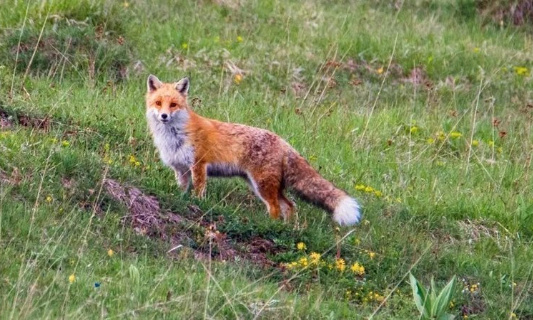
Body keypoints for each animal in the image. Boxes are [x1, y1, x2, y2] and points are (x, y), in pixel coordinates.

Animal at [145, 74, 362, 225]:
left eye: (173, 104)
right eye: (158, 103)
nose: (164, 116)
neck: (175, 136)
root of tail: (283, 142)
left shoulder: (199, 165)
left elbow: (198, 191)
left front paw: (196, 203)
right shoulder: (181, 169)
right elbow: (182, 190)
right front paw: (182, 199)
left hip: (262, 186)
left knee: (276, 208)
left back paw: (271, 225)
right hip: (262, 185)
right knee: (290, 206)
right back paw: (288, 228)